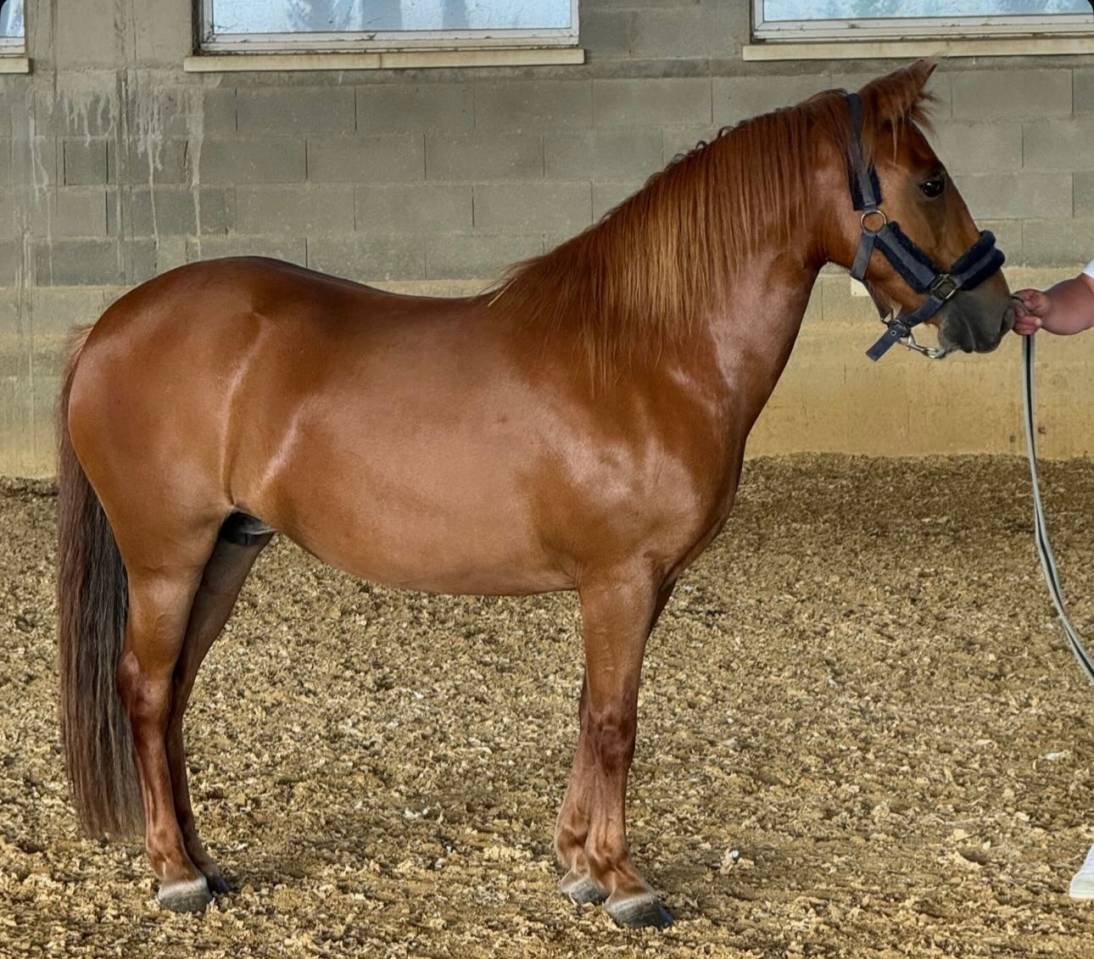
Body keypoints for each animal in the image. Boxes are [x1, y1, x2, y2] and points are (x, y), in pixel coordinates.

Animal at [56, 60, 1014, 928]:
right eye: (931, 180)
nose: (996, 313)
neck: (647, 349)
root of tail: (110, 324)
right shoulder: (620, 579)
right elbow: (618, 722)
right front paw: (624, 882)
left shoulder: (641, 584)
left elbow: (592, 712)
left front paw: (579, 863)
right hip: (168, 557)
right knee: (145, 687)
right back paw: (175, 873)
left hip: (228, 549)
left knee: (176, 690)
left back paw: (203, 859)